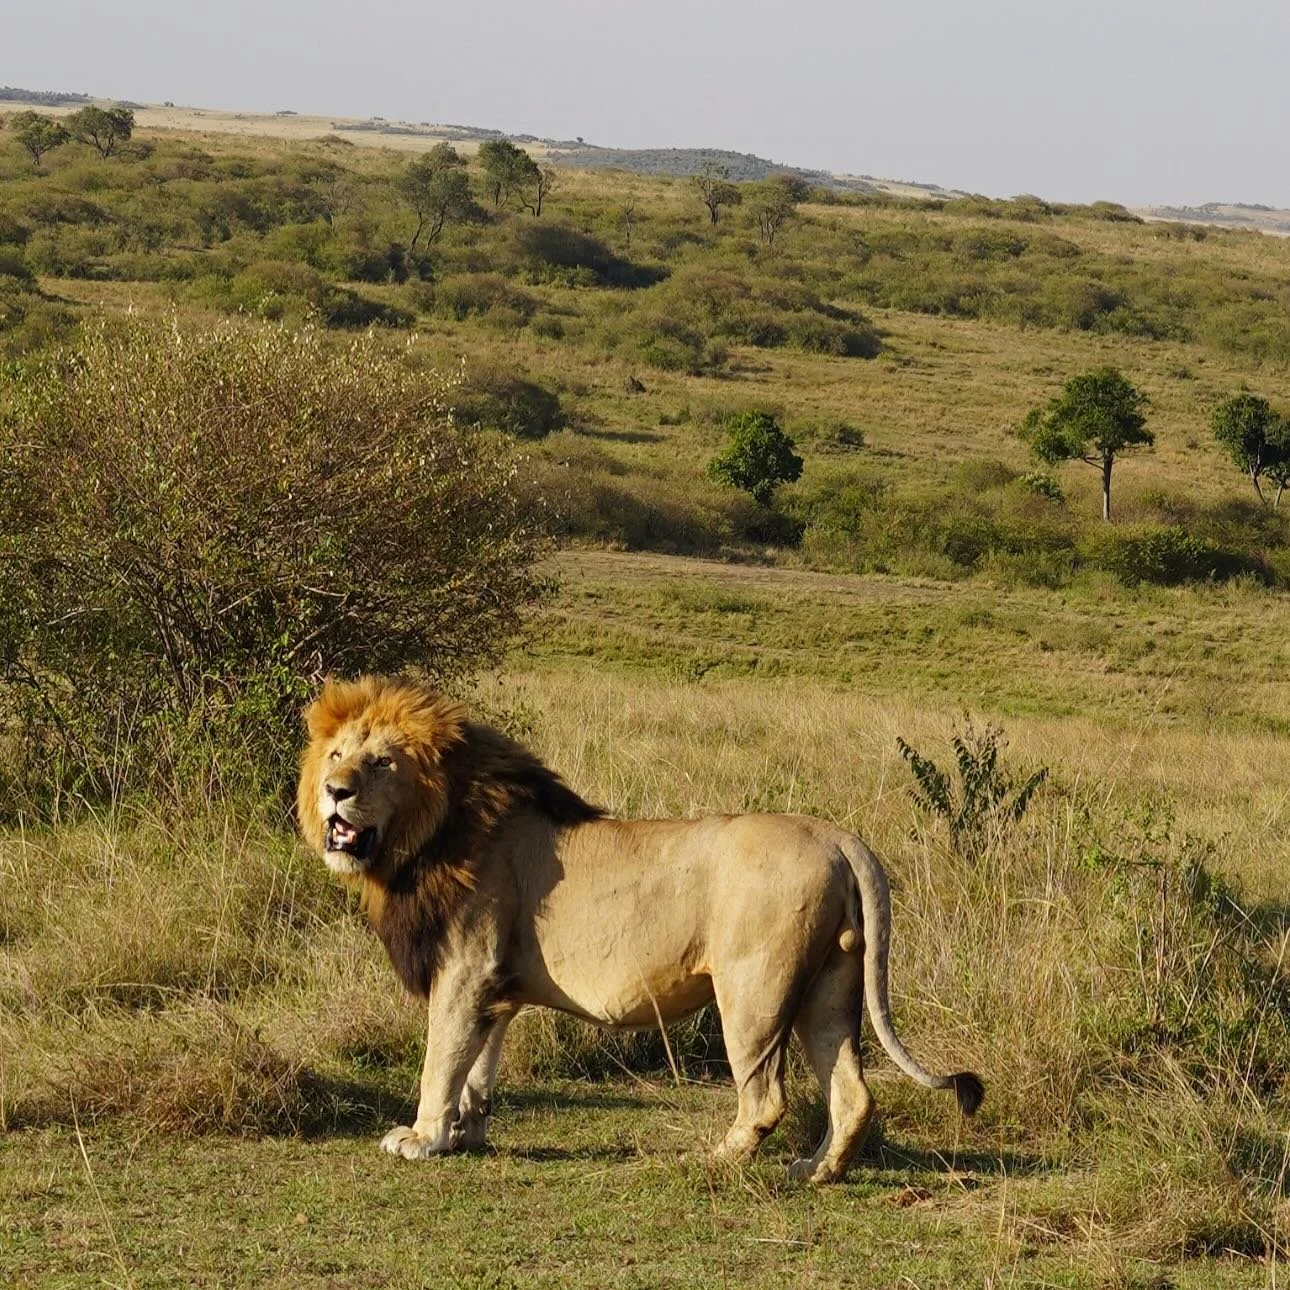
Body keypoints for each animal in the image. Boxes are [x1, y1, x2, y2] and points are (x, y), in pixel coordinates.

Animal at [297, 675, 983, 1183]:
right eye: (337, 755)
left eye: (381, 763)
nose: (335, 790)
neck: (429, 835)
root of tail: (839, 837)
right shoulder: (497, 986)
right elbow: (478, 1066)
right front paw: (468, 1134)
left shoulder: (466, 969)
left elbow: (441, 1058)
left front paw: (422, 1137)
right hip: (831, 985)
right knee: (852, 1094)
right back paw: (815, 1171)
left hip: (754, 990)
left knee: (766, 1096)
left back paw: (717, 1159)